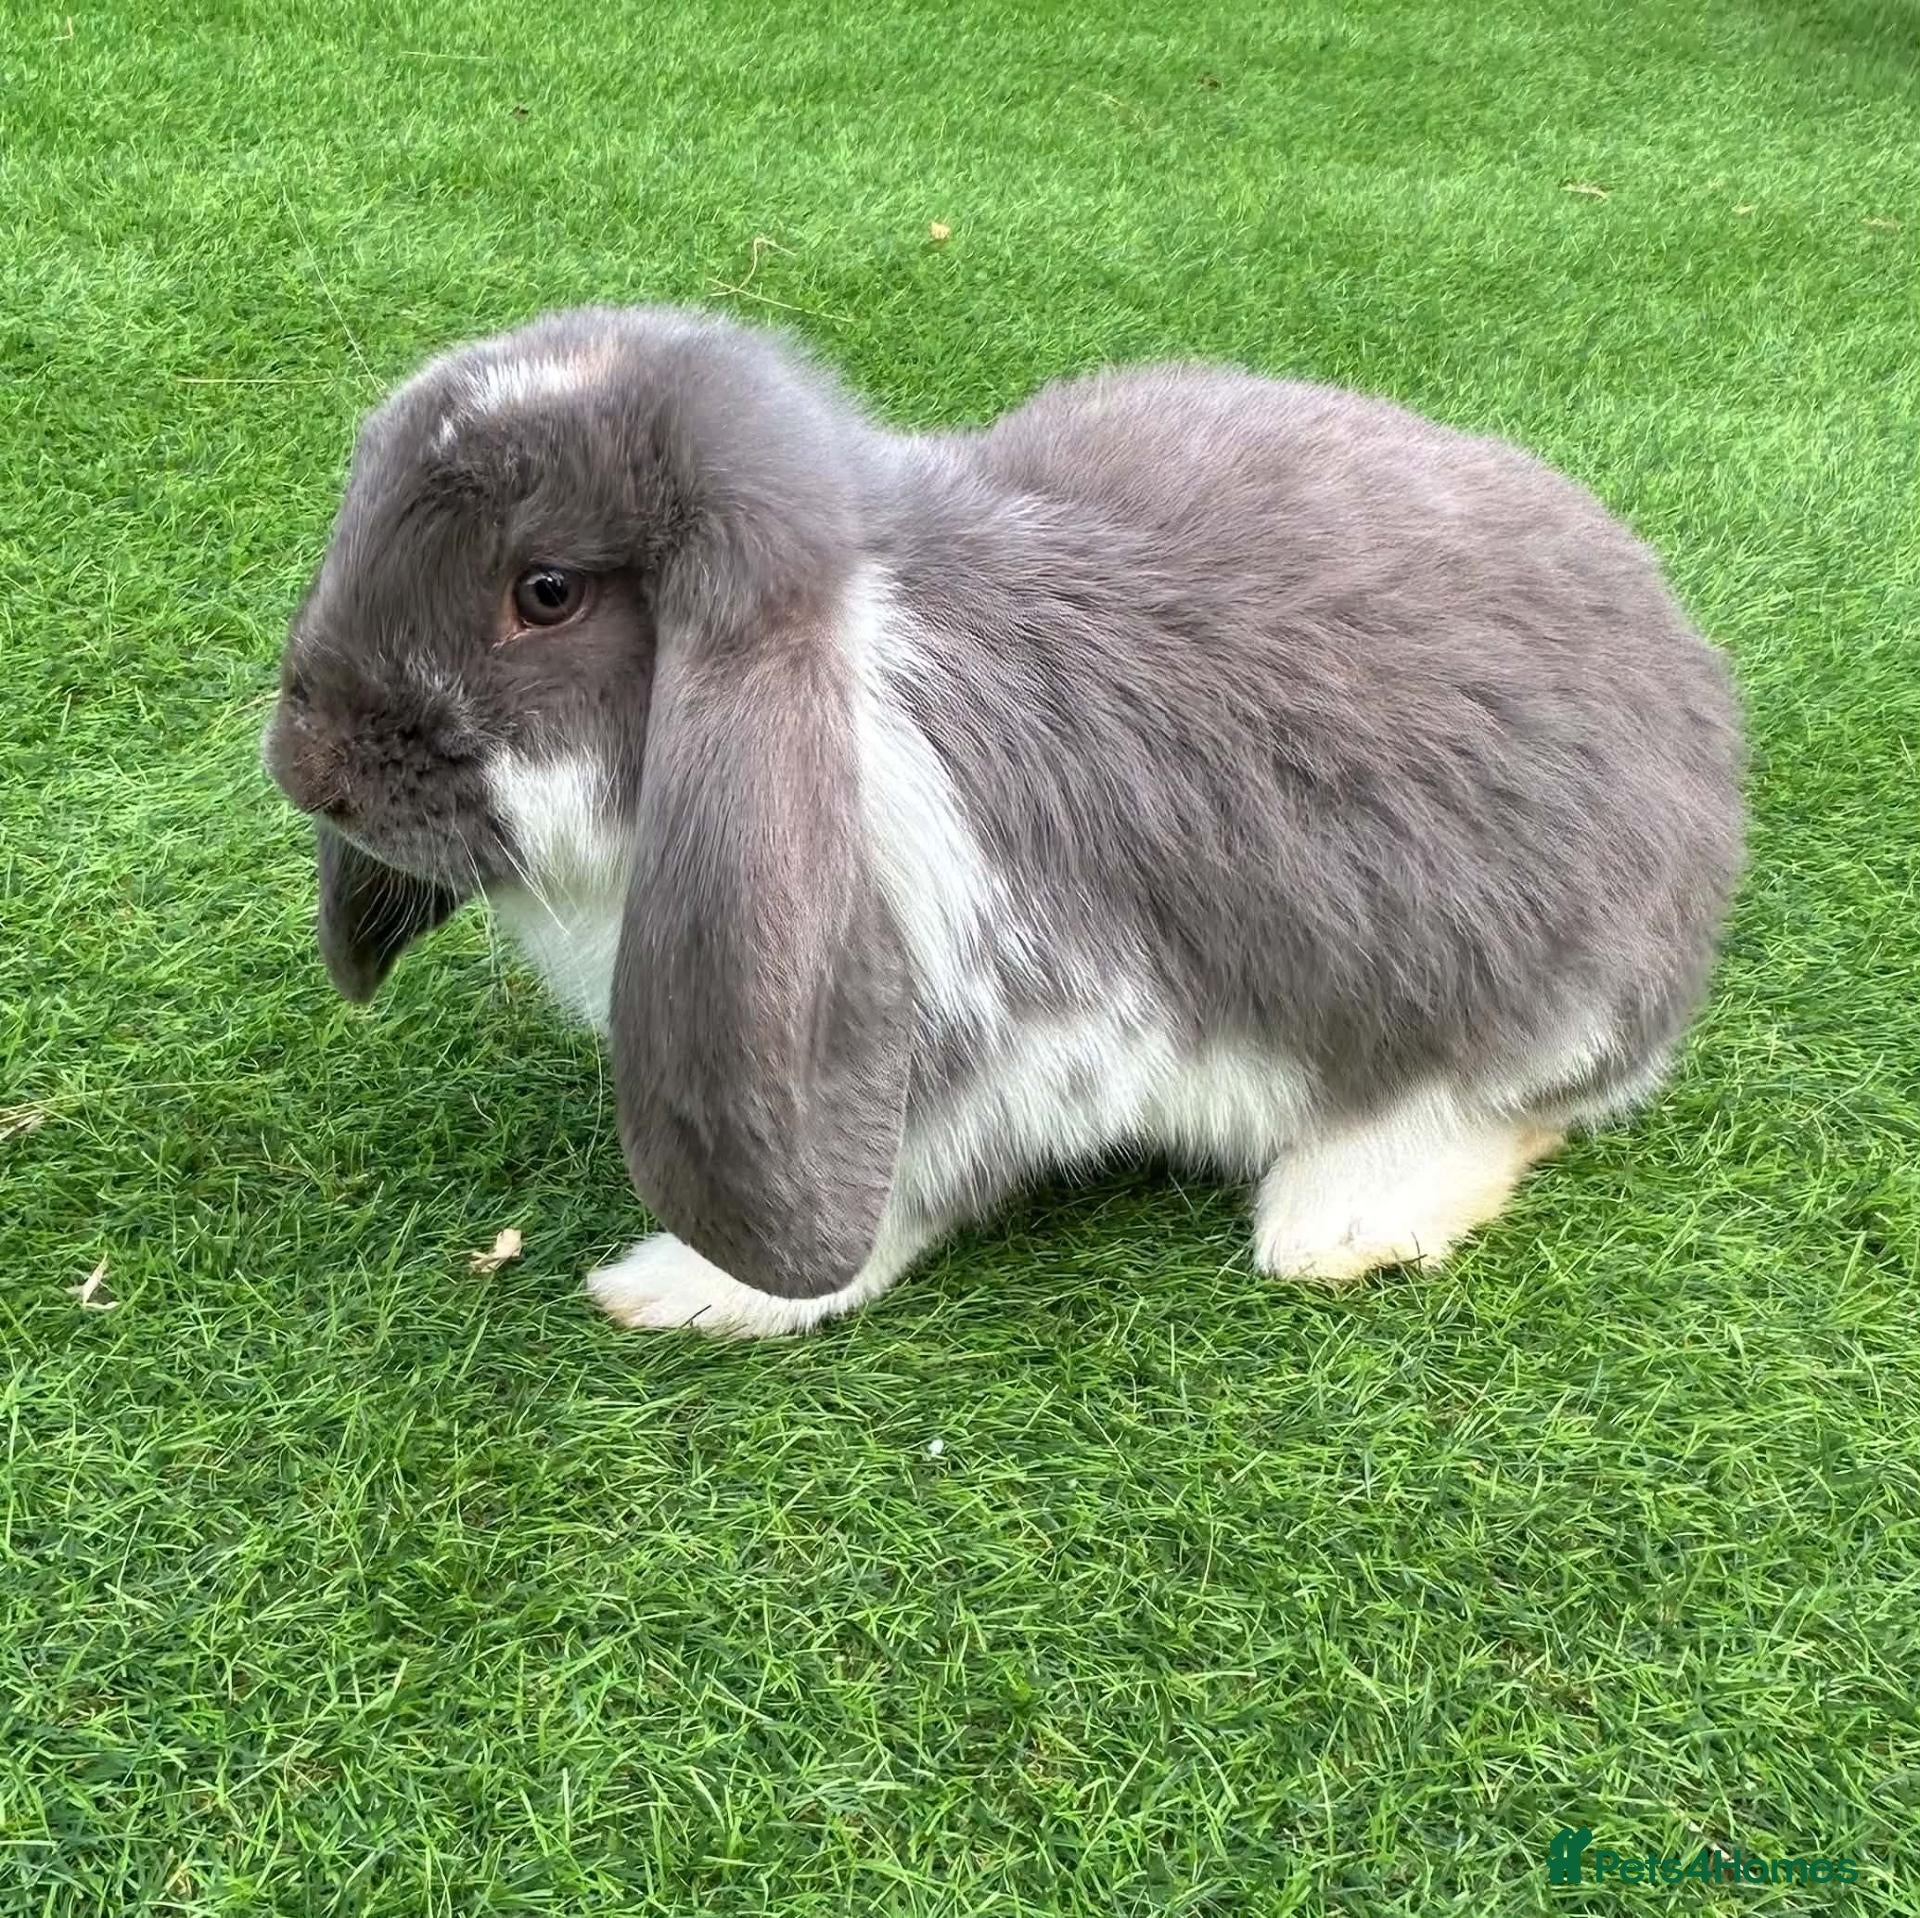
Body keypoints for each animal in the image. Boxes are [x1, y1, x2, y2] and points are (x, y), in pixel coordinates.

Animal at [262, 305, 1744, 1337]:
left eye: (548, 590)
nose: (307, 766)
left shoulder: (996, 1028)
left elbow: (892, 1200)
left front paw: (680, 1289)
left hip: (1518, 997)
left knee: (1504, 1105)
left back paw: (1338, 1222)